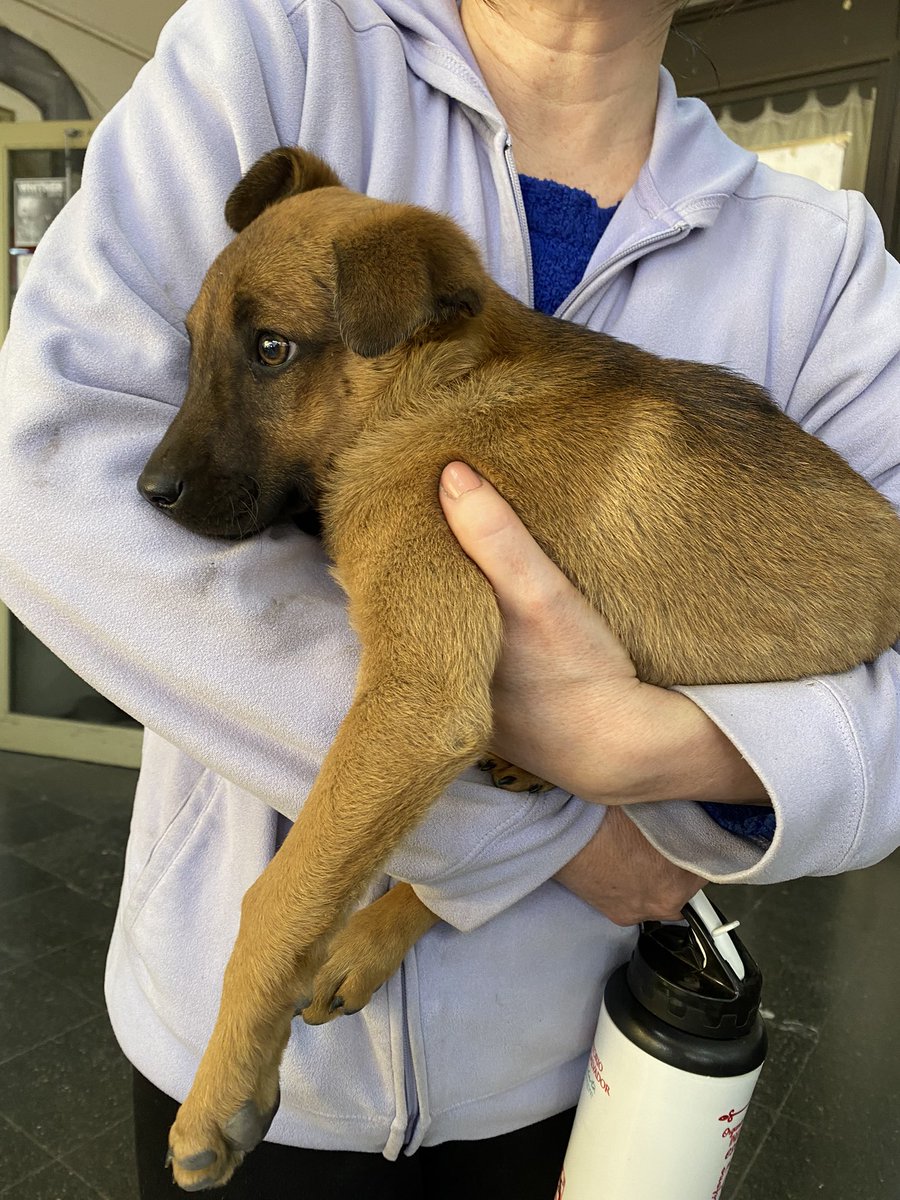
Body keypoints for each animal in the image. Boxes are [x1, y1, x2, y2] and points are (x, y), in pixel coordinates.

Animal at [139, 145, 900, 1185]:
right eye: (194, 341)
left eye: (271, 350)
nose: (149, 490)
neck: (436, 384)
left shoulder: (419, 695)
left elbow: (280, 895)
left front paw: (218, 1096)